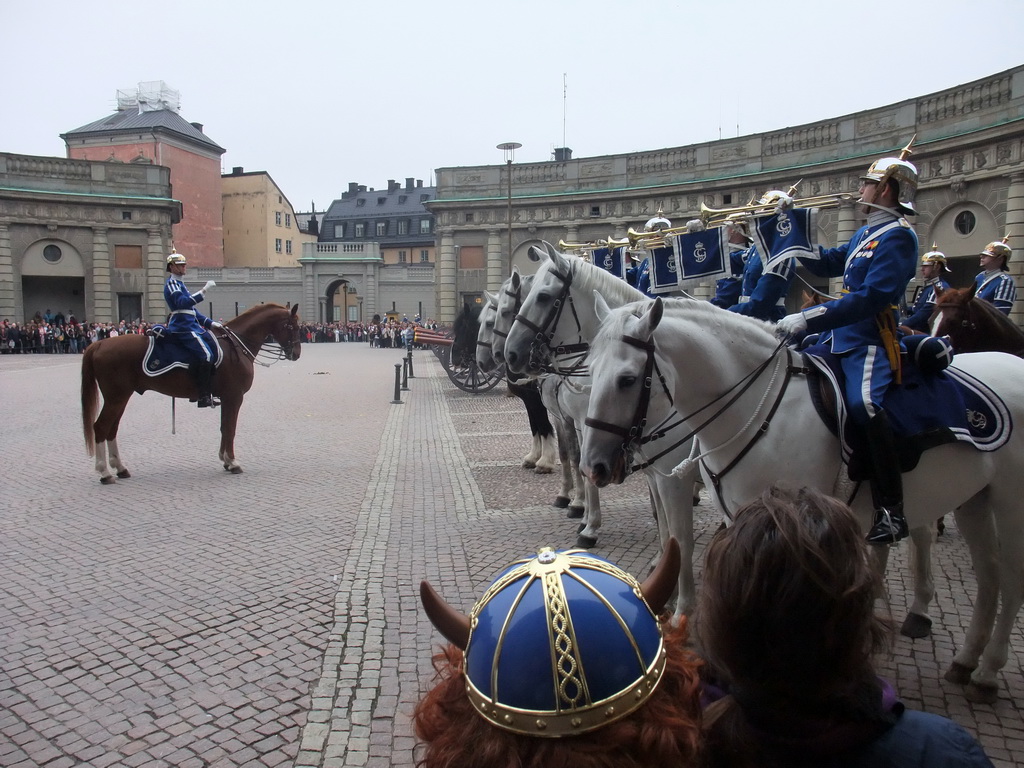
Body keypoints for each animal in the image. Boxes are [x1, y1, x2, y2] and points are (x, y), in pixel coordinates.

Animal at [83, 303, 299, 483]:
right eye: (292, 327)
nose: (296, 353)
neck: (236, 346)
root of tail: (99, 343)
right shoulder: (234, 396)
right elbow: (230, 428)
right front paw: (233, 462)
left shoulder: (227, 398)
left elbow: (224, 428)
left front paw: (225, 460)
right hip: (116, 397)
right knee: (101, 427)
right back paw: (104, 472)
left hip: (122, 397)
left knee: (112, 429)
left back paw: (120, 468)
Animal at [450, 303, 557, 473]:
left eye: (464, 326)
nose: (454, 357)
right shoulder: (528, 399)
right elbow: (534, 425)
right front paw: (533, 457)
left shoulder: (535, 399)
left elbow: (543, 424)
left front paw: (545, 461)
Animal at [581, 296, 1024, 704]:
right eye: (590, 371)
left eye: (626, 379)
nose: (593, 466)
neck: (755, 412)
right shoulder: (732, 512)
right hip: (974, 500)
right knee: (989, 575)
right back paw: (966, 659)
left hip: (1009, 503)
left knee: (1008, 579)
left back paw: (987, 670)